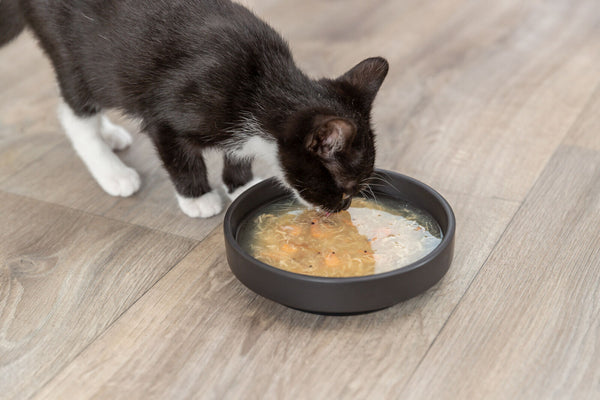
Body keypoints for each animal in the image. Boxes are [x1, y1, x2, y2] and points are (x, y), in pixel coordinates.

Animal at [1, 0, 390, 217]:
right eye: (344, 188)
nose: (343, 207)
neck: (262, 85)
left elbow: (238, 153)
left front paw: (240, 185)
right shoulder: (166, 115)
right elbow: (181, 158)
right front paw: (199, 197)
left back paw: (110, 135)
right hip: (79, 55)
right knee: (75, 111)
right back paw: (112, 170)